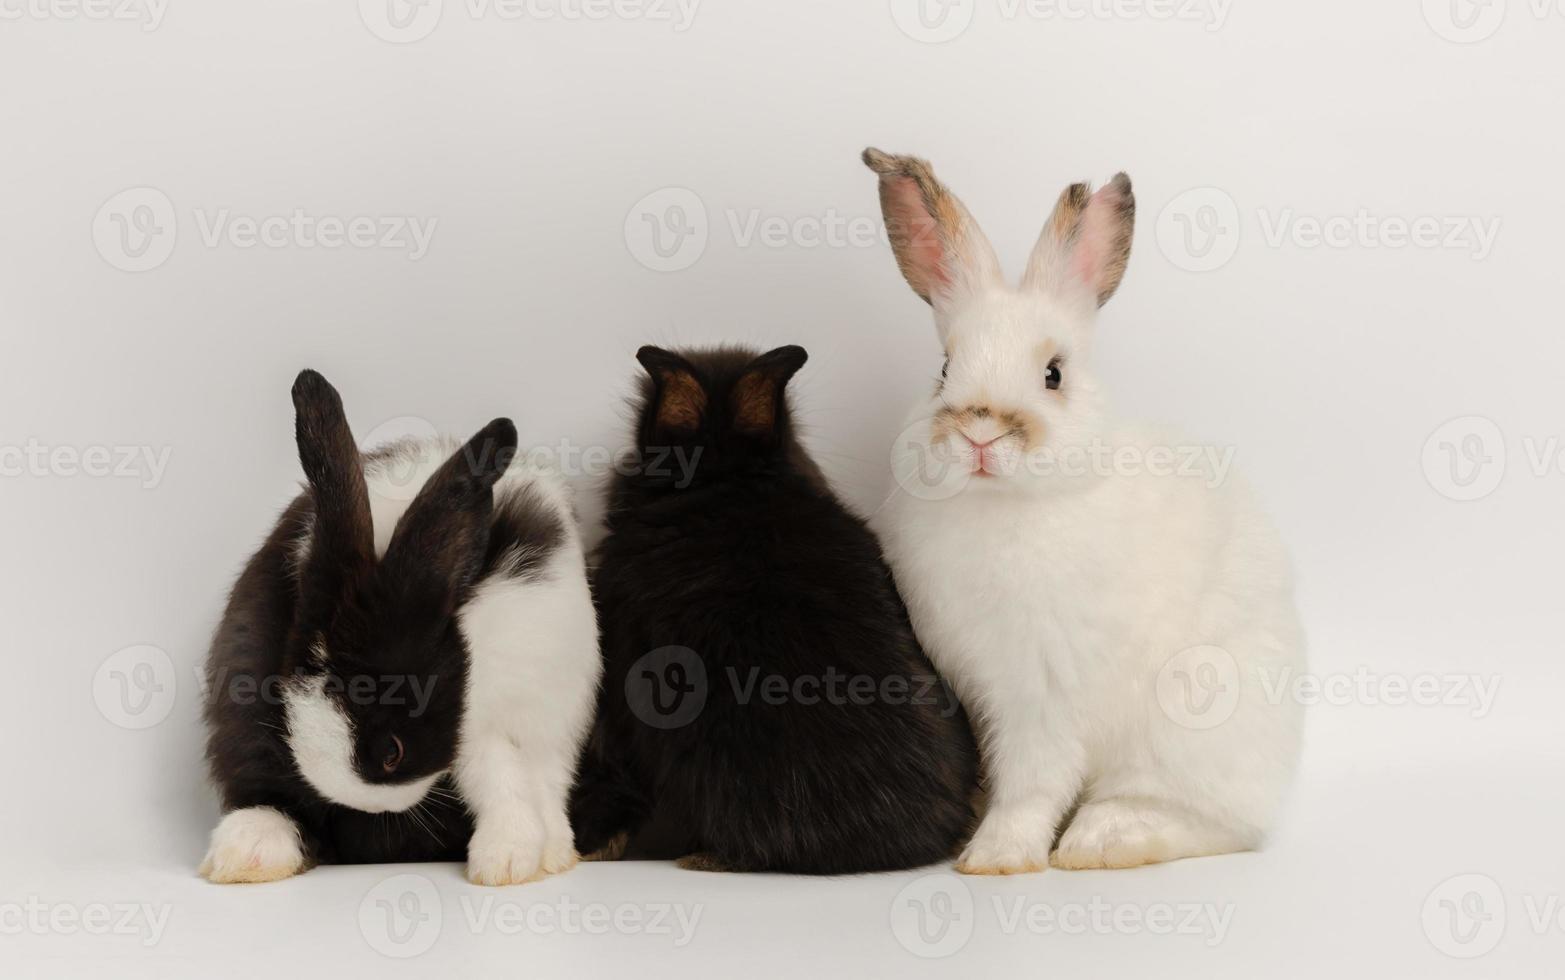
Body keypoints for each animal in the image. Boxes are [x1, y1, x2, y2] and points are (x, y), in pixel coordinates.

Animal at [200, 369, 597, 882]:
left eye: (393, 752)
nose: (372, 807)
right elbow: (498, 773)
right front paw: (509, 858)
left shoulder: (536, 708)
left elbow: (510, 777)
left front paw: (510, 862)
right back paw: (247, 852)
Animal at [863, 147, 1302, 870]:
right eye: (944, 368)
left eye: (1053, 374)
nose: (978, 434)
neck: (1006, 506)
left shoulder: (1041, 694)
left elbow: (1032, 780)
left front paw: (995, 857)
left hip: (1192, 723)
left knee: (1211, 821)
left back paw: (1103, 838)